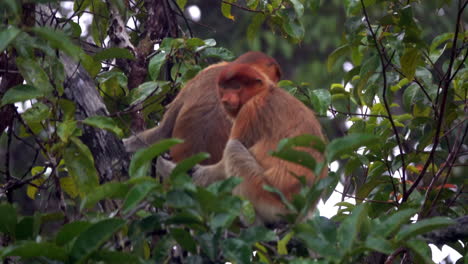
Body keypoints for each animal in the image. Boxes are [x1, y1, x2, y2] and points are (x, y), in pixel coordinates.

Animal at [157, 63, 326, 224]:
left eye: (237, 87)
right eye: (225, 87)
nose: (225, 99)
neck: (265, 92)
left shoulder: (250, 110)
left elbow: (223, 166)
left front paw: (171, 169)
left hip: (267, 198)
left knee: (234, 149)